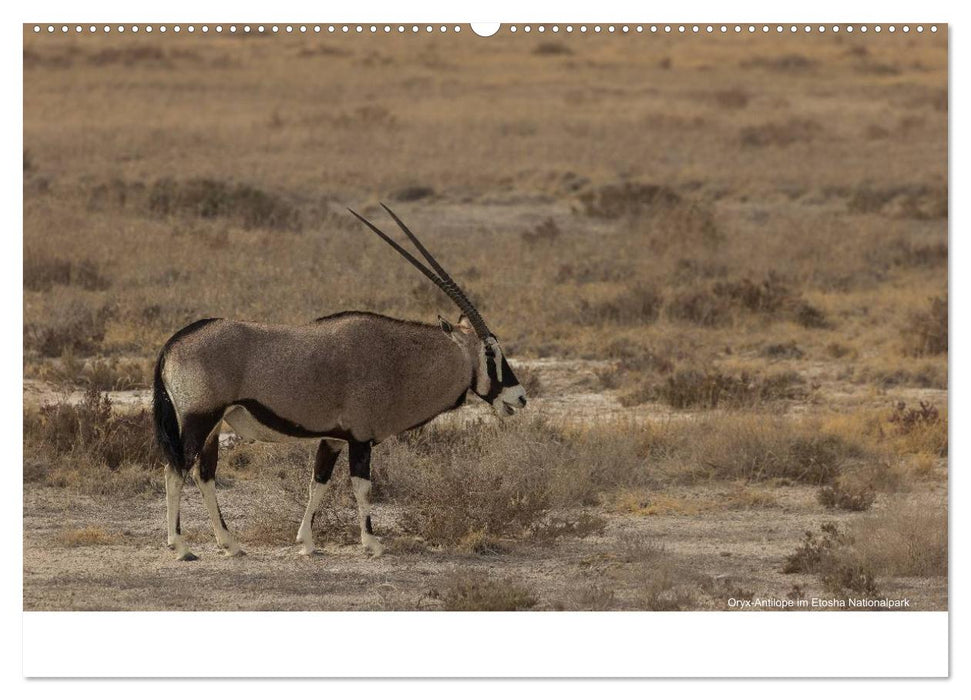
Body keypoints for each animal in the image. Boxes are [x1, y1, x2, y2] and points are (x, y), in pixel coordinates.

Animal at [155, 205, 528, 560]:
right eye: (490, 353)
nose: (520, 397)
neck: (397, 359)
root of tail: (174, 342)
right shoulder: (360, 438)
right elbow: (362, 486)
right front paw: (373, 544)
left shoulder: (333, 438)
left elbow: (317, 483)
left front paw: (306, 542)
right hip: (199, 418)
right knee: (176, 470)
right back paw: (182, 547)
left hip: (215, 425)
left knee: (203, 474)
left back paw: (230, 544)